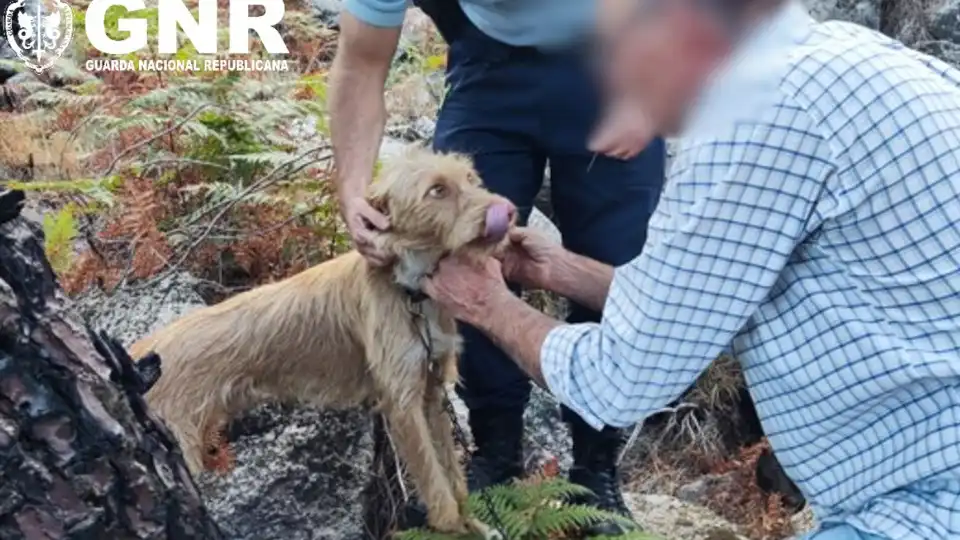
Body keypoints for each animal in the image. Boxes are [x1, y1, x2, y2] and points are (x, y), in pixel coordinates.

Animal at [133, 147, 516, 536]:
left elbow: (452, 473)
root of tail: (140, 351)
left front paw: (472, 520)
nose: (508, 210)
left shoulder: (431, 389)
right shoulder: (402, 403)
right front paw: (453, 525)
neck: (410, 290)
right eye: (437, 190)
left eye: (471, 178)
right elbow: (435, 480)